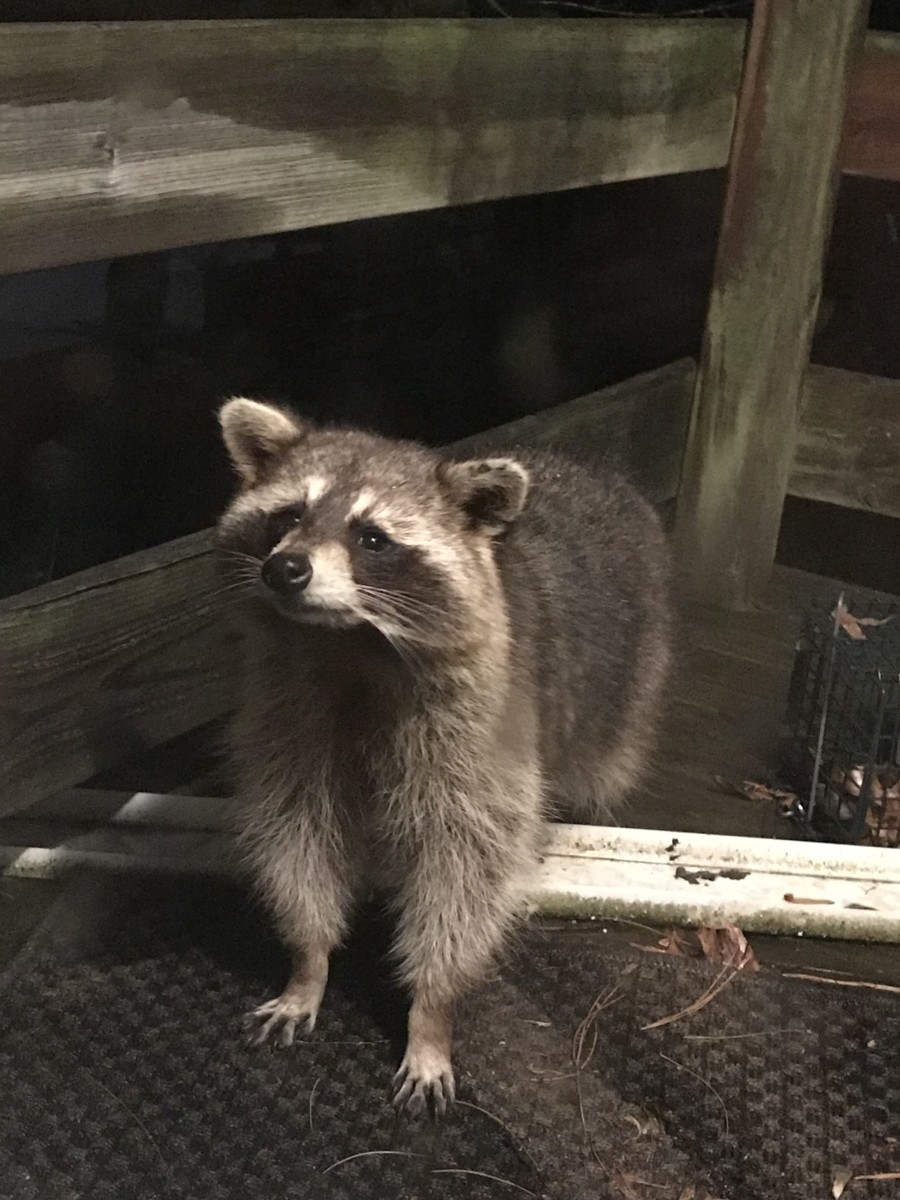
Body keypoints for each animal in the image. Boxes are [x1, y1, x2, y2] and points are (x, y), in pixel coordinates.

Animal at [214, 398, 672, 1118]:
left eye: (373, 538)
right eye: (288, 516)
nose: (285, 569)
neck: (350, 645)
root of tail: (595, 473)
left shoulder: (481, 736)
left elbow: (464, 873)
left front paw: (431, 1012)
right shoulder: (292, 716)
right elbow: (297, 837)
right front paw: (307, 962)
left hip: (629, 675)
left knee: (603, 760)